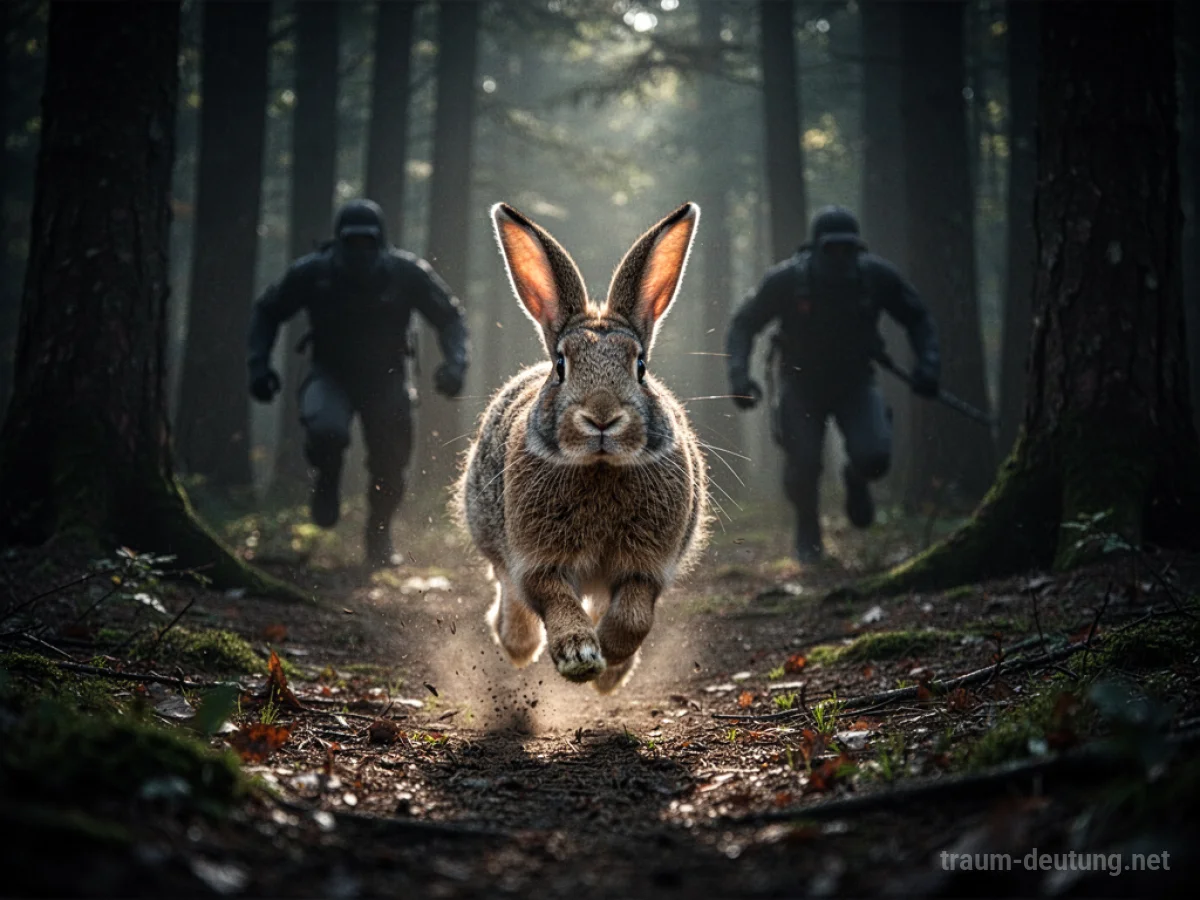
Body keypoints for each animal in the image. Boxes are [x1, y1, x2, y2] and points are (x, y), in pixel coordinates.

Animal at [455, 201, 709, 694]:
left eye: (641, 367)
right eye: (560, 365)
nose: (602, 416)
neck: (600, 467)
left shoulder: (649, 565)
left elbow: (634, 616)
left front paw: (607, 659)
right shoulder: (536, 560)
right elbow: (553, 598)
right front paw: (579, 653)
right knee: (508, 593)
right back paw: (518, 644)